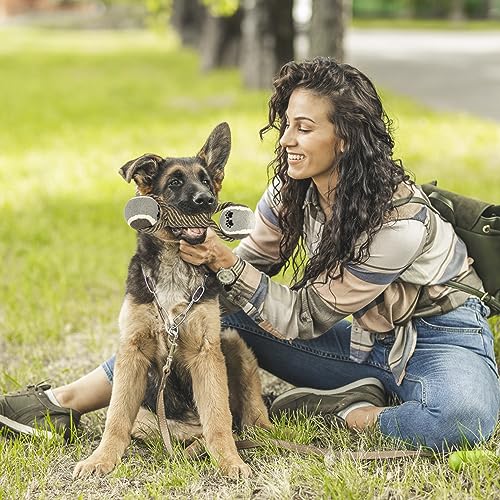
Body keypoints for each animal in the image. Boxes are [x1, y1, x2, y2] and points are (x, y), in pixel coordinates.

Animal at [73, 122, 271, 479]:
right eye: (175, 182)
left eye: (206, 179)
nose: (207, 200)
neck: (175, 265)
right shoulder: (132, 349)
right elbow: (116, 417)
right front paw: (101, 460)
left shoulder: (207, 351)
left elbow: (218, 417)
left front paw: (229, 461)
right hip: (149, 417)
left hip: (233, 344)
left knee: (241, 416)